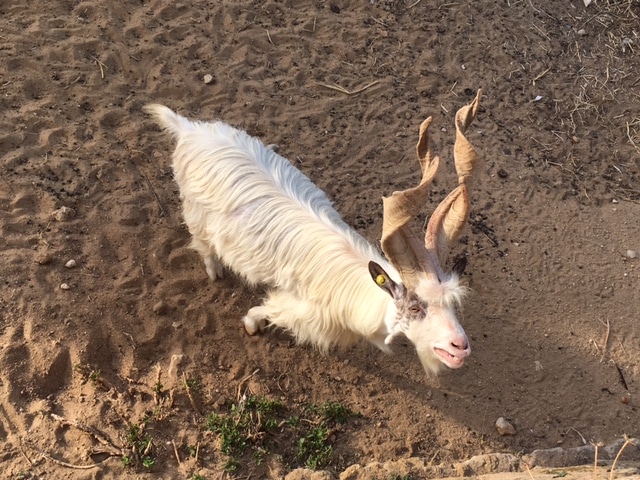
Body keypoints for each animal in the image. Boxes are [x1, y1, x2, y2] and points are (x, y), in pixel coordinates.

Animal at [146, 90, 480, 376]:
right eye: (415, 307)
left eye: (452, 305)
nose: (460, 347)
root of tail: (189, 129)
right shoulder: (301, 310)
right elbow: (269, 308)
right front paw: (251, 324)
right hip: (196, 213)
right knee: (202, 243)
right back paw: (214, 270)